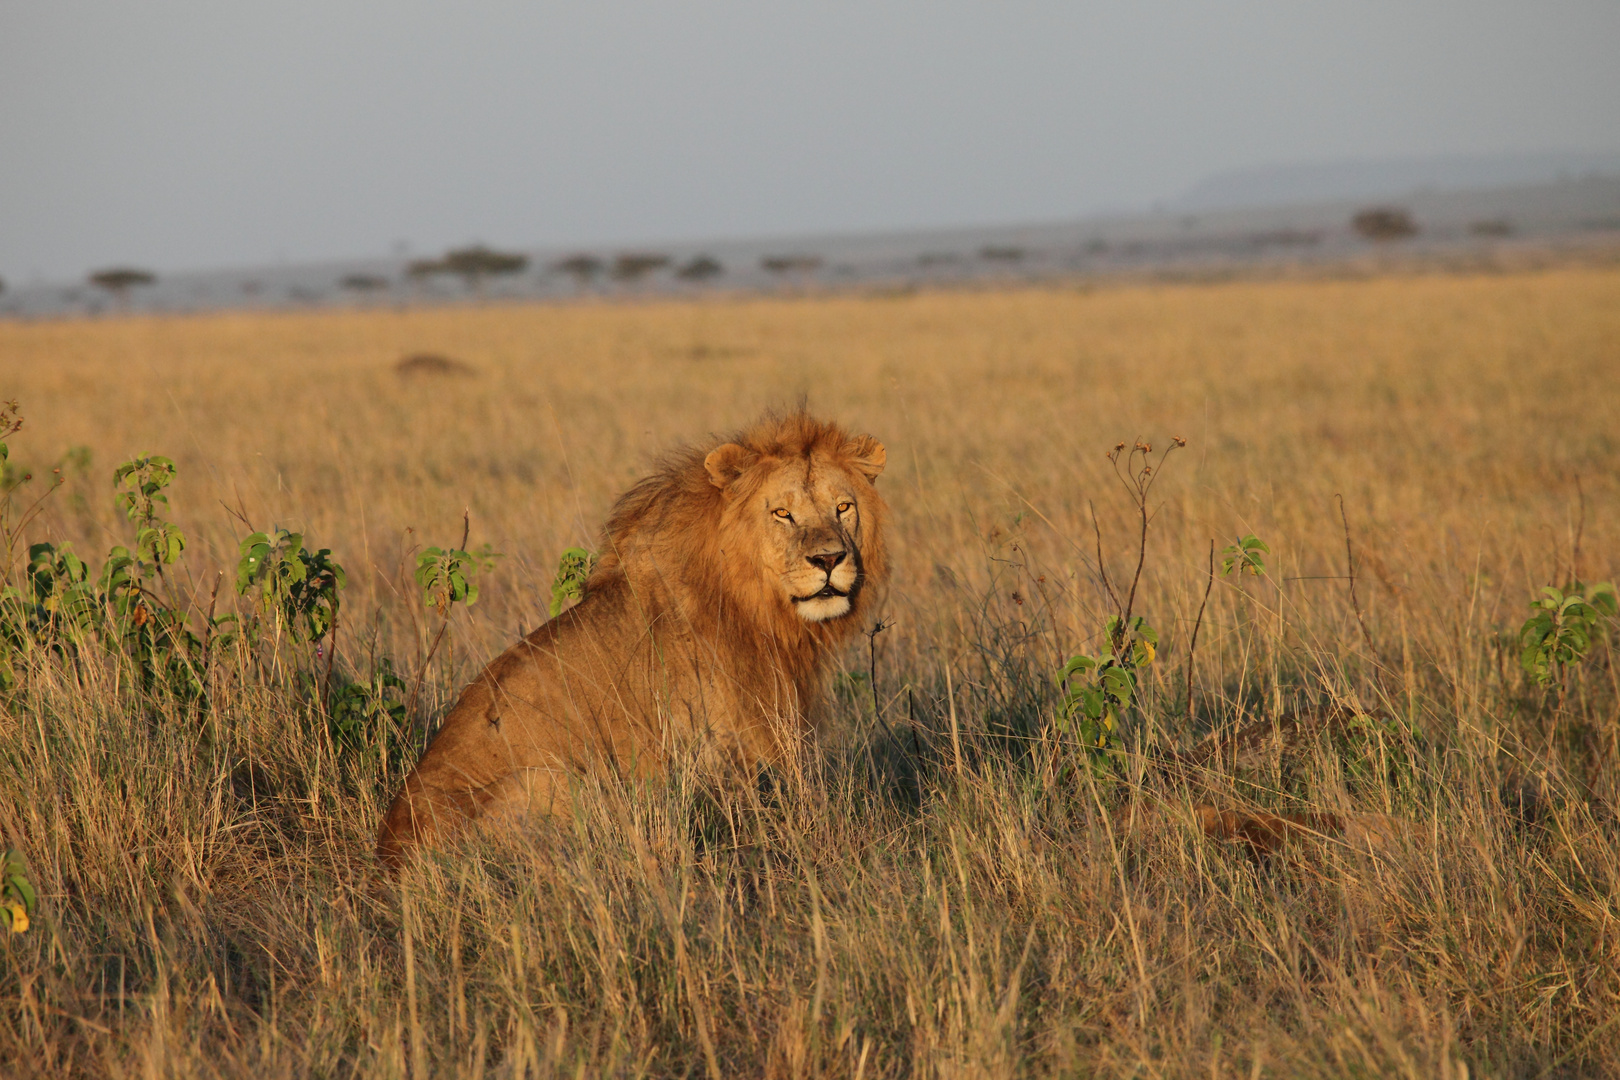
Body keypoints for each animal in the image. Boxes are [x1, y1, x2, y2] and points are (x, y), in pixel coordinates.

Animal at [374, 409, 894, 867]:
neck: (755, 604)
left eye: (843, 507)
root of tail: (388, 862)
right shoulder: (720, 758)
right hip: (557, 781)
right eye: (782, 513)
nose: (828, 559)